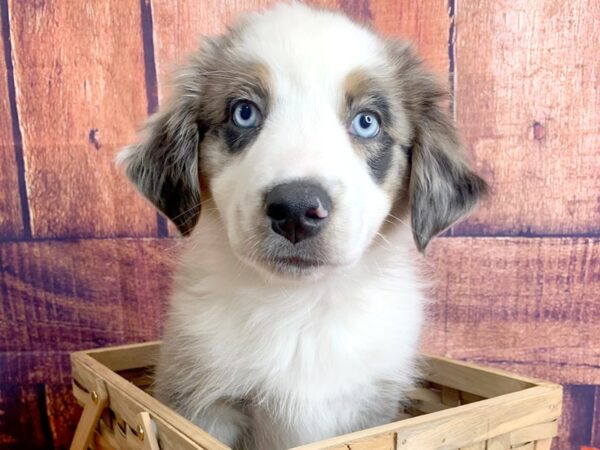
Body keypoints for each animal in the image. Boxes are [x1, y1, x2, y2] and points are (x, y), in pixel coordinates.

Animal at [118, 1, 488, 448]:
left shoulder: (373, 410)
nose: (296, 210)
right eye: (244, 112)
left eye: (367, 122)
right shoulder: (205, 404)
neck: (300, 307)